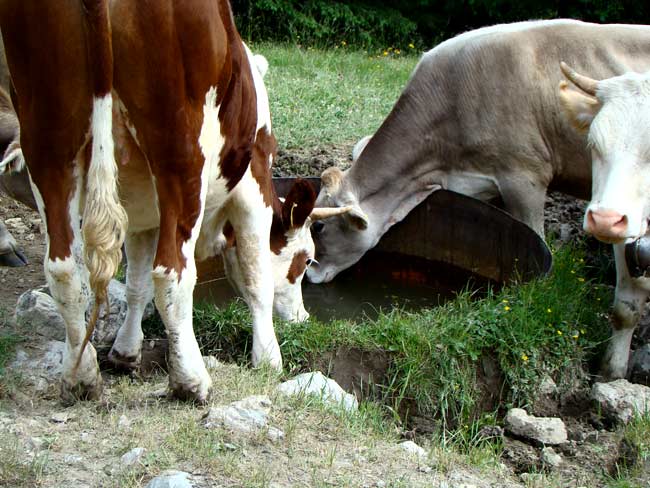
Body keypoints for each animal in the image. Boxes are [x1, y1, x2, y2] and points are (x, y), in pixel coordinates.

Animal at [0, 0, 322, 404]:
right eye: (306, 259)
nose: (303, 318)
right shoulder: (254, 187)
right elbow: (257, 276)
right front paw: (268, 359)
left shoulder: (143, 212)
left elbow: (135, 281)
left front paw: (125, 351)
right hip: (180, 154)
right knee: (171, 273)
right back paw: (190, 381)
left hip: (48, 145)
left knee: (64, 269)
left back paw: (81, 377)